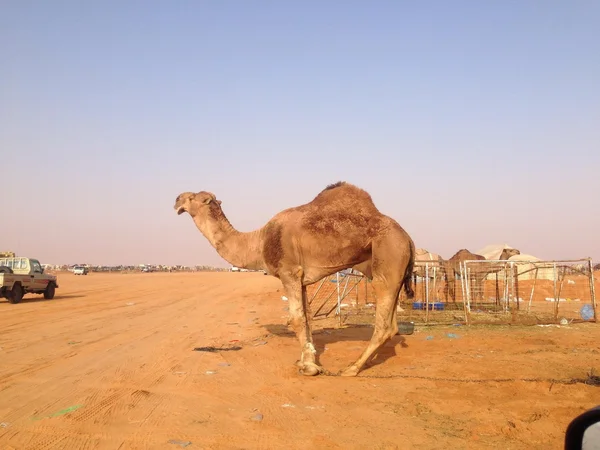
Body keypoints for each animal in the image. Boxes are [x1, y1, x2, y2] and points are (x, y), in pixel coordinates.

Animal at [173, 182, 414, 376]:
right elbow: (306, 319)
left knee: (383, 323)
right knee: (392, 325)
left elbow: (296, 319)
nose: (176, 199)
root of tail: (408, 238)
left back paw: (351, 369)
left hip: (389, 257)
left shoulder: (289, 272)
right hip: (389, 270)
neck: (258, 242)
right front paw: (308, 359)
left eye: (192, 197)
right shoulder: (301, 278)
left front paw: (309, 368)